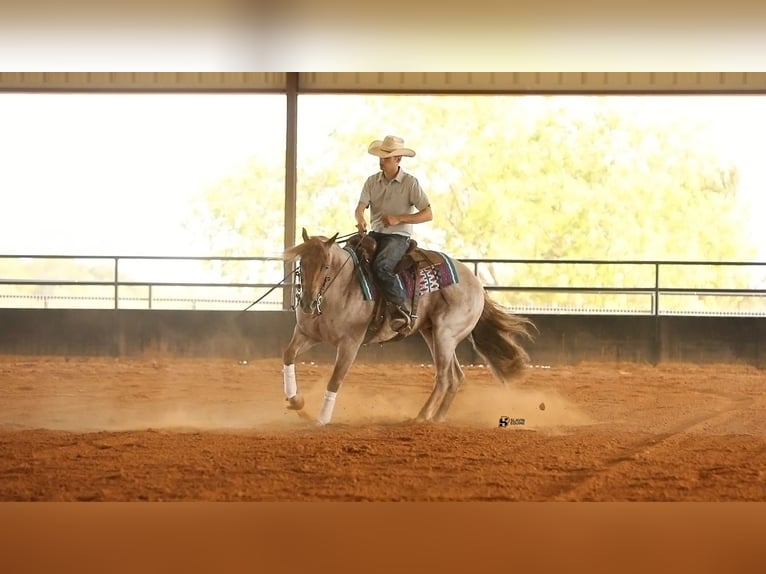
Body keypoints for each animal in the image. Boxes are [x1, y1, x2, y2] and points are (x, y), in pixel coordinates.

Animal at [280, 230, 536, 428]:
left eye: (325, 266)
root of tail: (477, 285)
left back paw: (421, 417)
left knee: (443, 378)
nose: (307, 303)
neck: (342, 286)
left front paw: (321, 419)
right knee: (456, 377)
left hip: (445, 335)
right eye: (302, 263)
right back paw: (437, 418)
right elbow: (288, 355)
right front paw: (296, 401)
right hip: (434, 334)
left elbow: (335, 380)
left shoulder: (350, 344)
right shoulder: (306, 334)